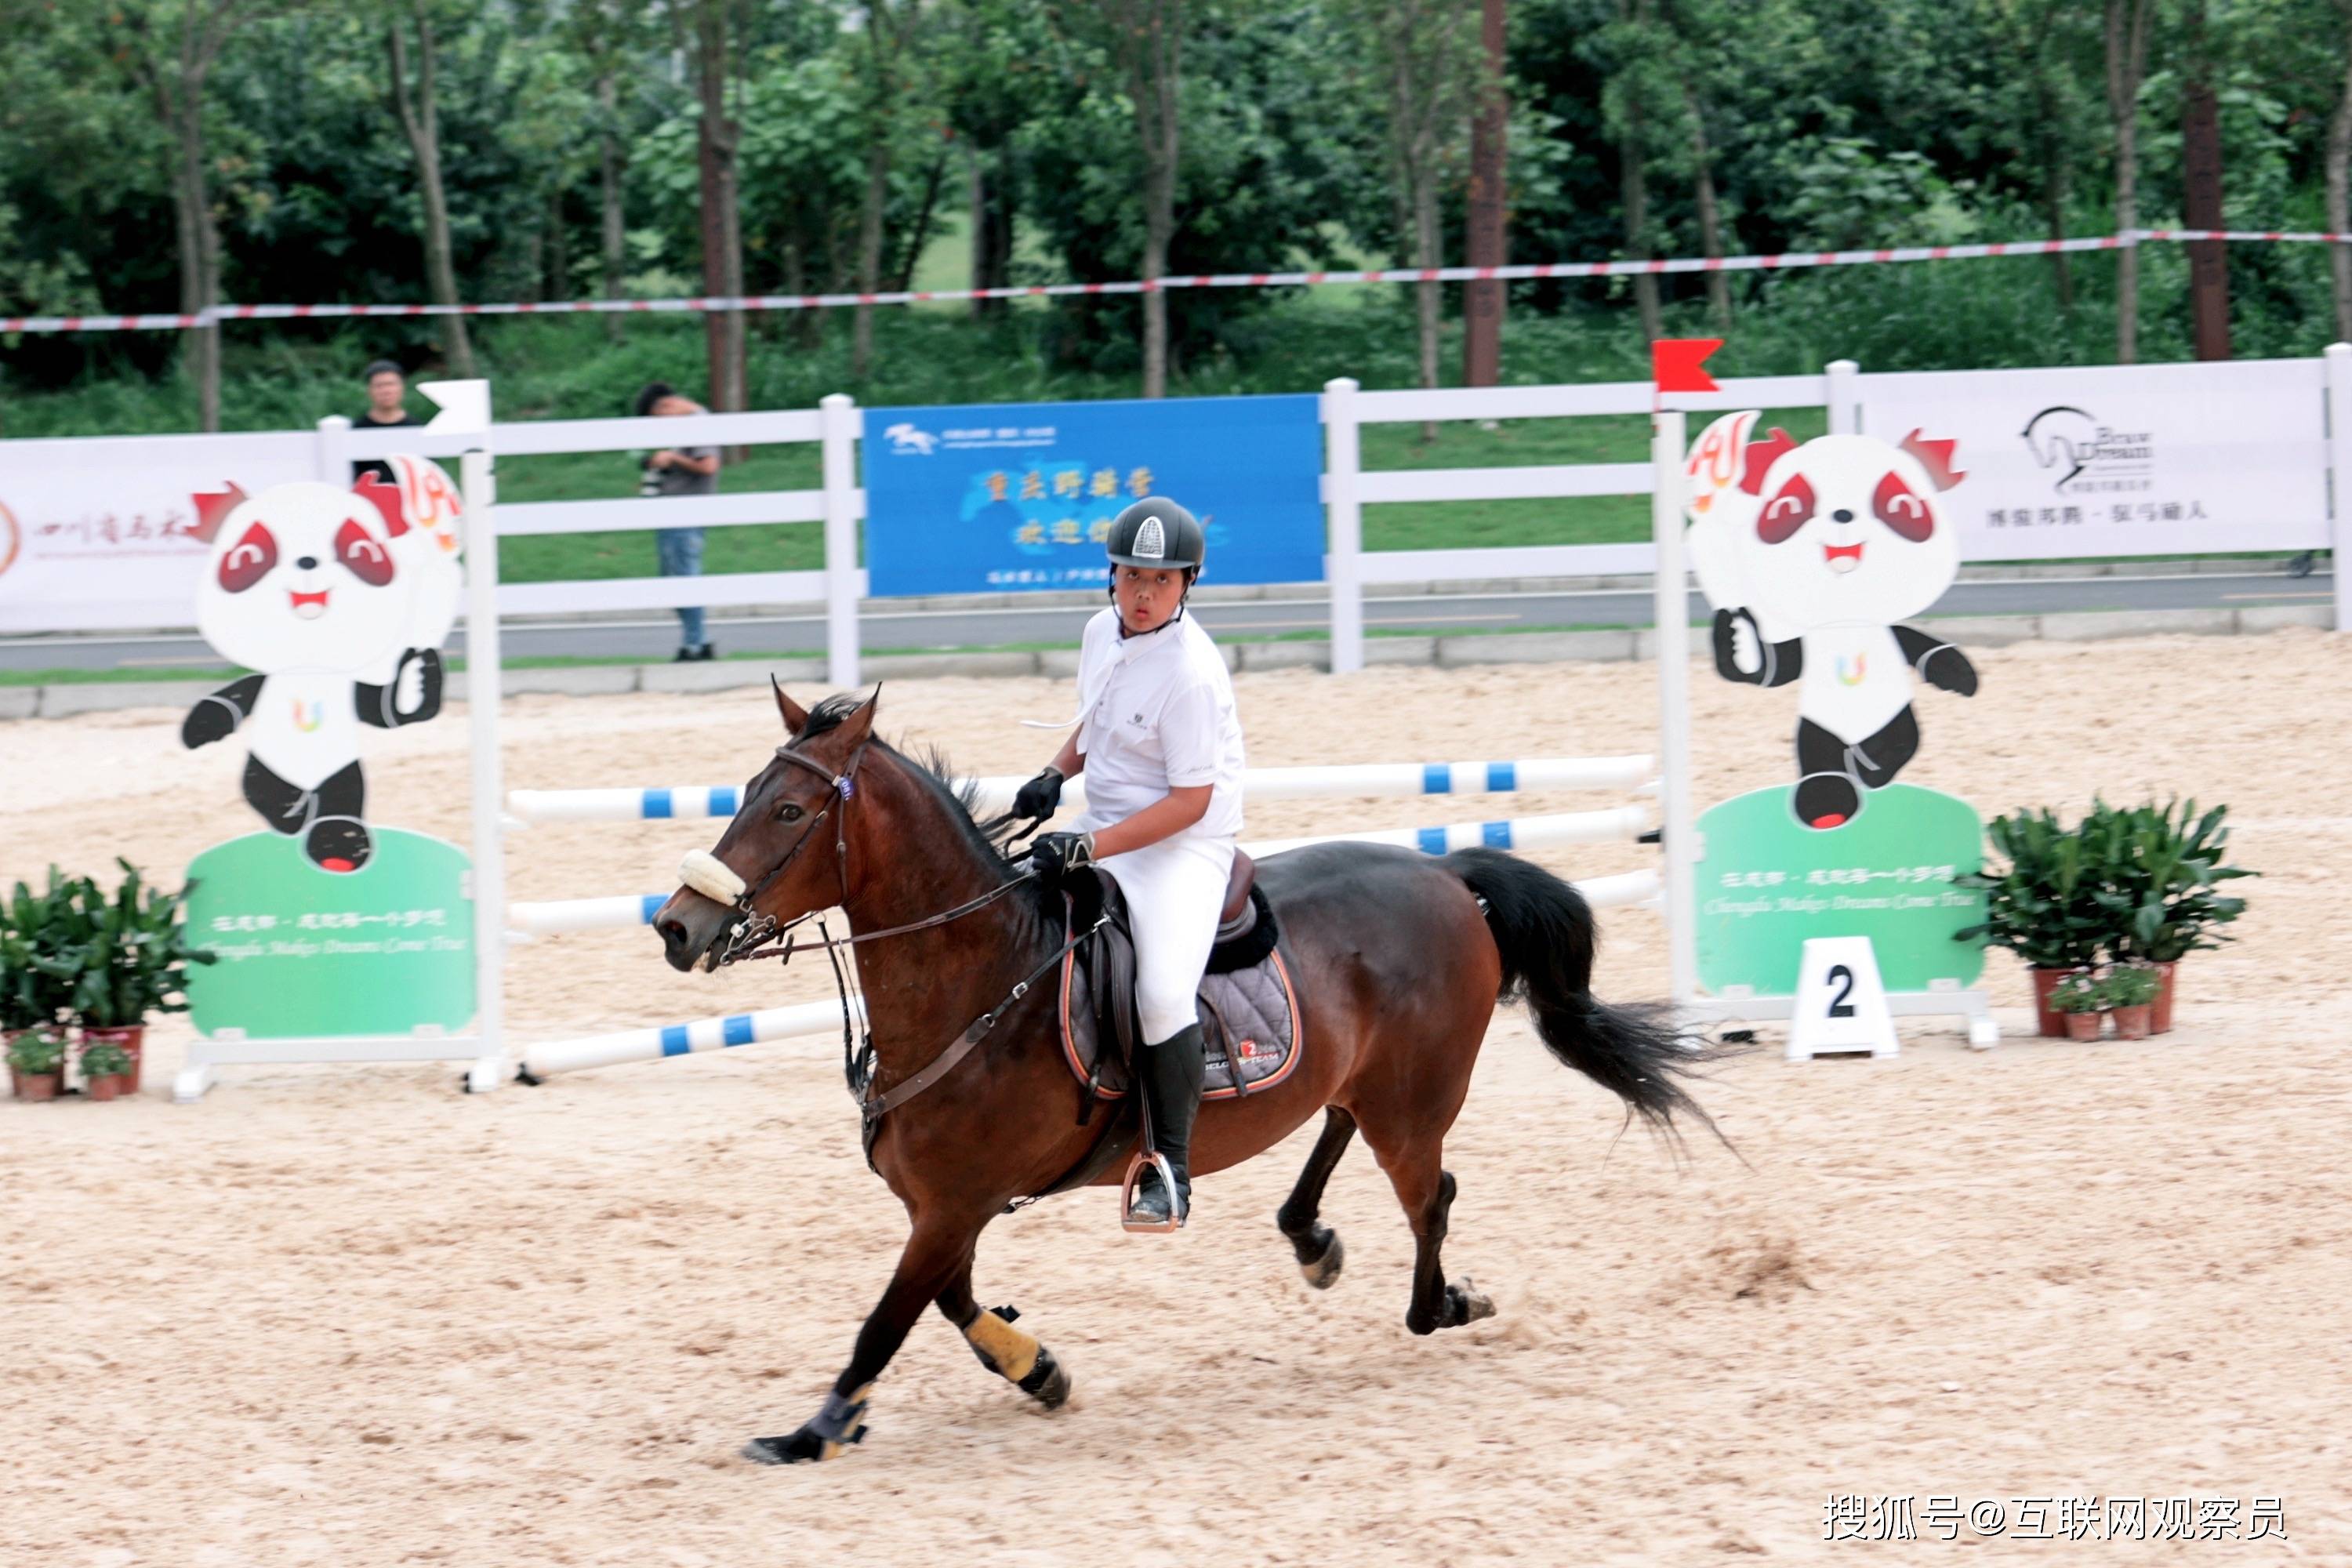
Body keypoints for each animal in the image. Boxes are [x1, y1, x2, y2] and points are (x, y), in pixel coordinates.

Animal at [654, 681, 1722, 1467]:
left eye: (789, 808)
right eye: (745, 790)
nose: (676, 926)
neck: (984, 977)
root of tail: (1448, 876)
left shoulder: (952, 1205)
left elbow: (886, 1321)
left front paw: (812, 1431)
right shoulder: (947, 1210)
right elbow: (953, 1303)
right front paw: (1038, 1367)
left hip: (1415, 1102)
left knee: (1432, 1198)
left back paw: (1440, 1301)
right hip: (1369, 1081)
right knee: (1339, 1130)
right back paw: (1311, 1237)